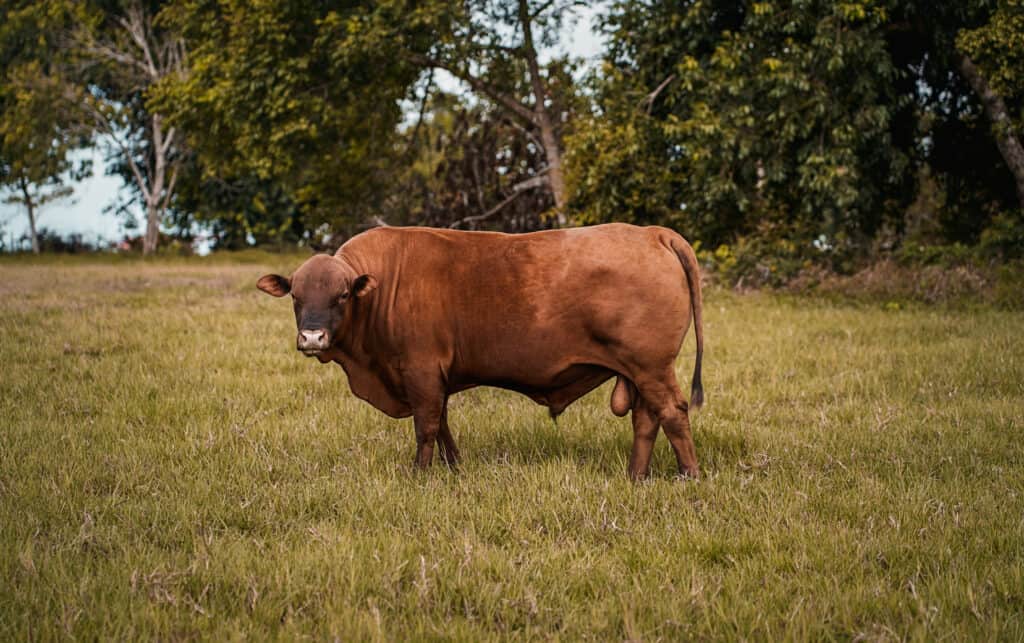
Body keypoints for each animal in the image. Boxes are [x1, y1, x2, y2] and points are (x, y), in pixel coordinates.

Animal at [257, 223, 705, 479]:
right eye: (296, 296)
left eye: (343, 295)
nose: (312, 337)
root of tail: (652, 231)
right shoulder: (432, 377)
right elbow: (442, 424)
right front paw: (454, 468)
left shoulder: (420, 370)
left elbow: (426, 426)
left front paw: (419, 476)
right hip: (641, 371)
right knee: (646, 419)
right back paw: (635, 476)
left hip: (651, 366)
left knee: (673, 412)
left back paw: (689, 475)